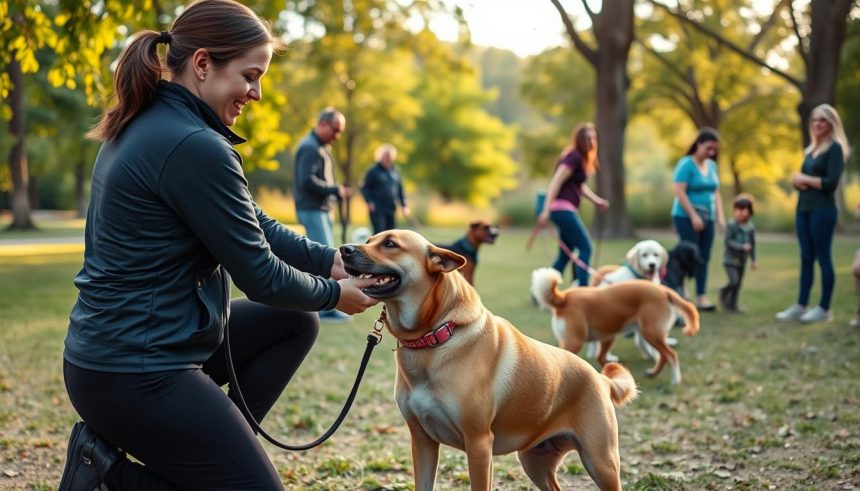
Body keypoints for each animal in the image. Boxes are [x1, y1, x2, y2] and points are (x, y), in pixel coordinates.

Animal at [340, 231, 636, 491]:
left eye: (390, 244)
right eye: (369, 240)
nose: (344, 249)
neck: (435, 336)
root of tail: (601, 379)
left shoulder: (479, 444)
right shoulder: (422, 441)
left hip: (601, 462)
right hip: (535, 461)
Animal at [532, 268, 700, 386]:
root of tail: (664, 290)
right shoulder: (605, 338)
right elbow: (600, 358)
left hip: (647, 333)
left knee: (670, 354)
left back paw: (675, 380)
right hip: (626, 336)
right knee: (664, 356)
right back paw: (652, 373)